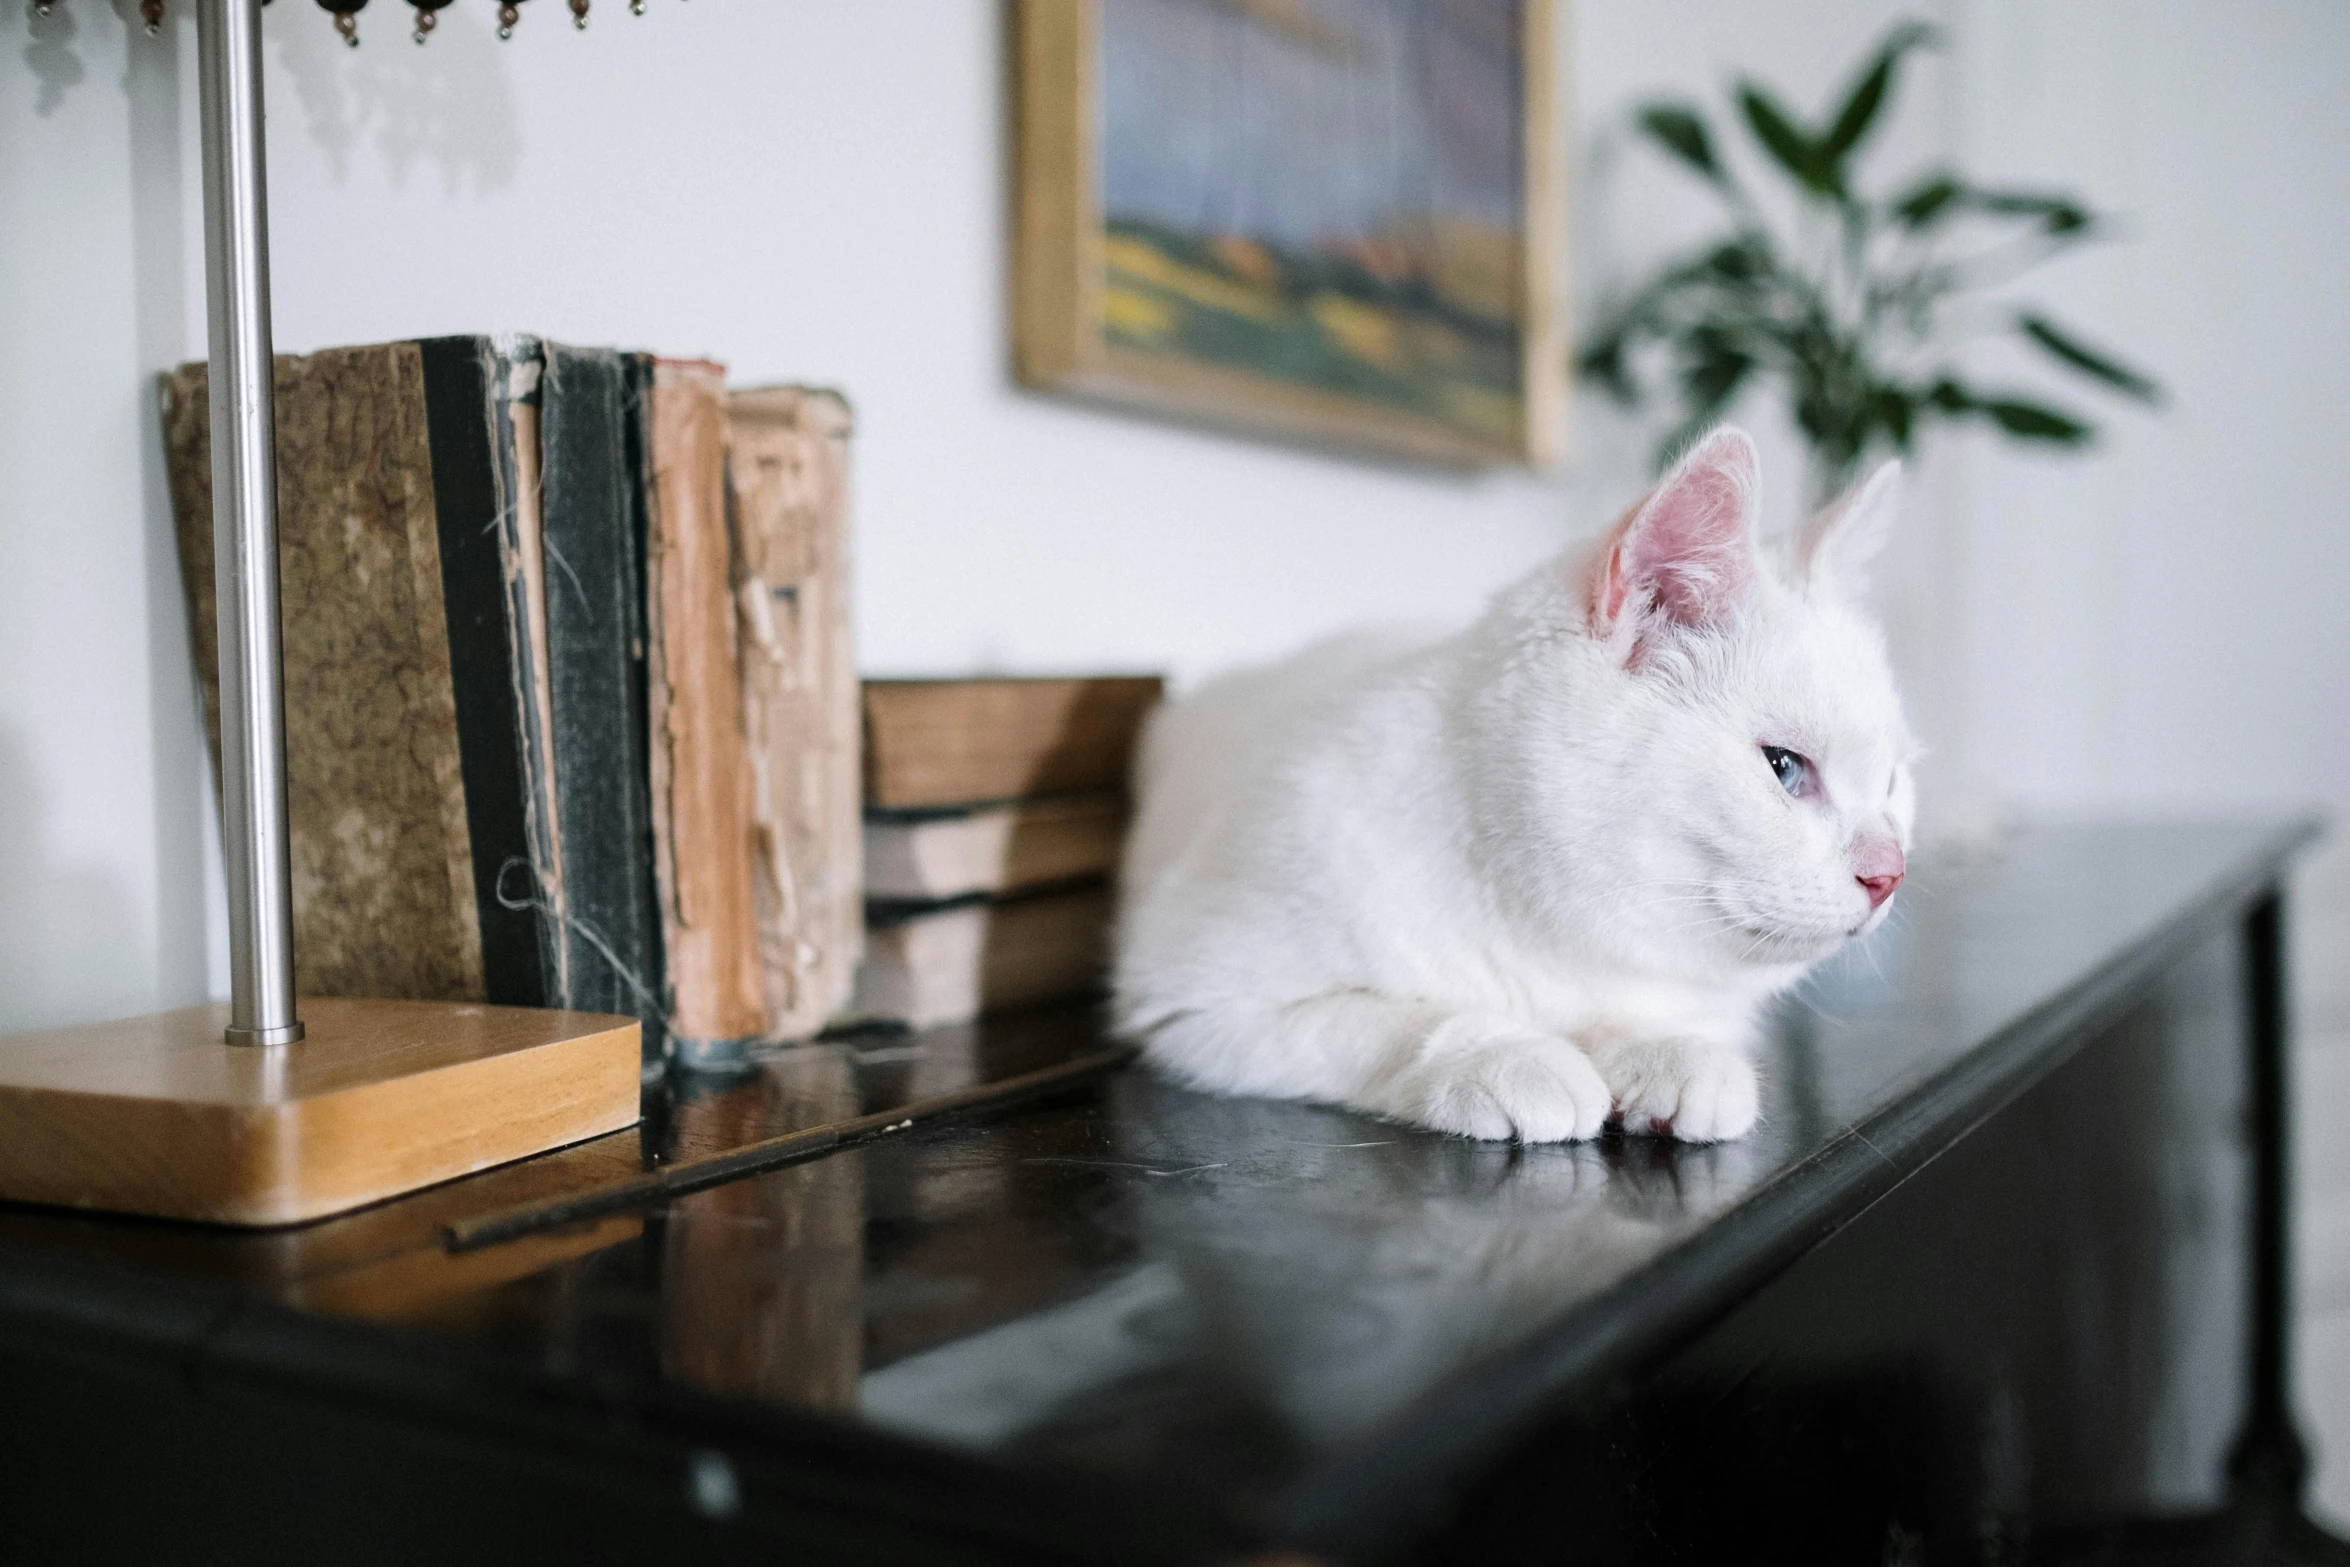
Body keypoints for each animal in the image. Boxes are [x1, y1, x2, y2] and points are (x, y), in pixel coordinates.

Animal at [1113, 434, 1908, 1146]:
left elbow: (1640, 1016)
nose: (1890, 872)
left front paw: (1671, 1054)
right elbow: (1391, 1020)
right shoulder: (1194, 999)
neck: (1549, 934)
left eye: (1895, 781)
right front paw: (1508, 1055)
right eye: (1783, 767)